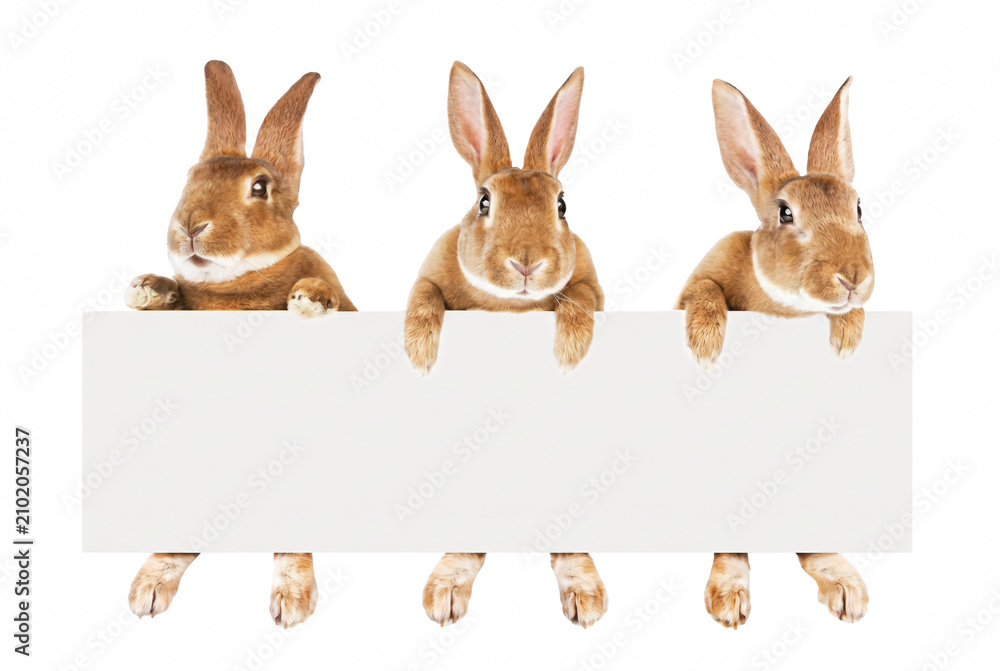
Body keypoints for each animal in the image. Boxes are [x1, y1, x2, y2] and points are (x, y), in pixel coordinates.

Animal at [124, 60, 355, 629]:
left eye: (260, 187)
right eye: (189, 179)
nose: (190, 226)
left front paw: (309, 299)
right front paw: (145, 288)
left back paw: (291, 600)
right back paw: (148, 588)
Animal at [405, 62, 608, 628]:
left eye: (562, 205)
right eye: (483, 202)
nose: (526, 263)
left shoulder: (591, 286)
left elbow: (580, 299)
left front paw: (569, 352)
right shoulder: (427, 277)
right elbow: (425, 297)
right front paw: (420, 353)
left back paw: (585, 599)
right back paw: (444, 595)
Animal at [676, 78, 872, 628]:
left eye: (859, 209)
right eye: (785, 213)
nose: (853, 277)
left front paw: (847, 337)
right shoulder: (702, 277)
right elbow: (704, 292)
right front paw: (705, 342)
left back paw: (848, 590)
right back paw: (729, 600)